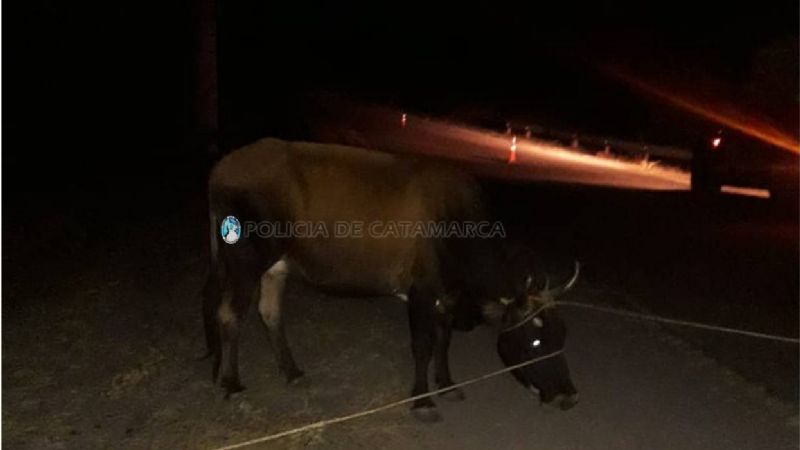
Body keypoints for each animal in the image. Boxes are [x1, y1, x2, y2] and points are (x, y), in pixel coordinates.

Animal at [203, 137, 579, 421]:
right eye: (535, 341)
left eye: (561, 337)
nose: (569, 397)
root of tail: (222, 167)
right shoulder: (422, 290)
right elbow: (423, 345)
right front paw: (423, 401)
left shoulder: (447, 293)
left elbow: (444, 341)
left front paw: (446, 384)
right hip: (245, 260)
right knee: (229, 314)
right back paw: (231, 384)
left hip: (276, 265)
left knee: (270, 313)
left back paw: (291, 372)